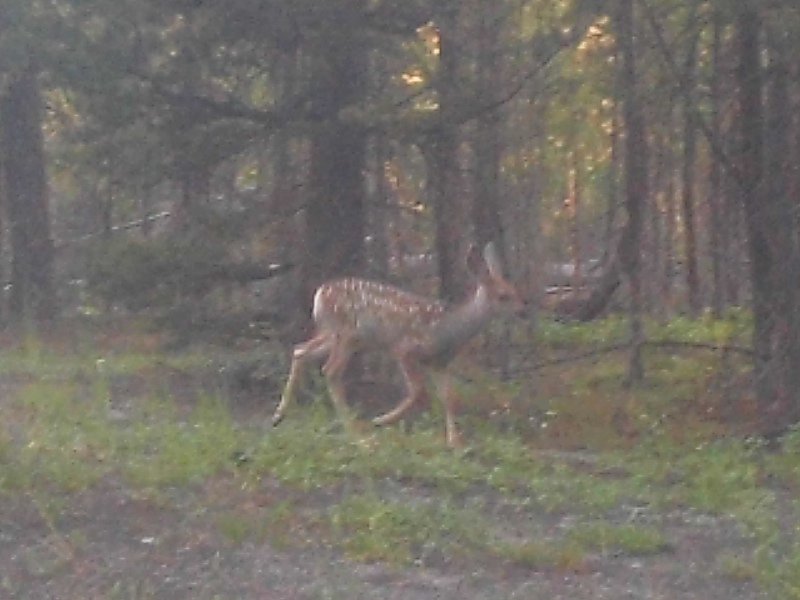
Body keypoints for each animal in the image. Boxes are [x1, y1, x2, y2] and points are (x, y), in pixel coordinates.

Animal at [272, 240, 528, 446]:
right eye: (503, 296)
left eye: (515, 289)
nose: (523, 311)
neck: (449, 330)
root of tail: (320, 294)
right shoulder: (405, 349)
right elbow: (419, 392)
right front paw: (380, 420)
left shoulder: (439, 364)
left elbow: (450, 398)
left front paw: (455, 442)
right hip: (347, 334)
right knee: (330, 371)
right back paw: (356, 432)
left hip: (337, 335)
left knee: (300, 350)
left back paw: (279, 415)